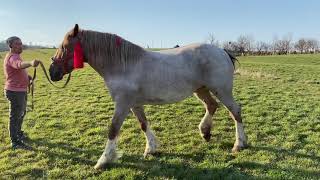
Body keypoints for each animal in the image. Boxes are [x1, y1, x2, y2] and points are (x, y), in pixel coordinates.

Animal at [48, 24, 248, 170]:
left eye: (65, 47)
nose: (52, 72)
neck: (123, 64)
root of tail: (223, 52)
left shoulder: (122, 104)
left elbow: (113, 129)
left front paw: (103, 160)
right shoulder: (134, 104)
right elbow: (143, 124)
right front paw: (151, 149)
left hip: (221, 90)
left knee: (235, 111)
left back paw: (239, 144)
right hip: (202, 90)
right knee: (212, 106)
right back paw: (205, 132)